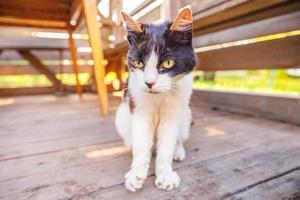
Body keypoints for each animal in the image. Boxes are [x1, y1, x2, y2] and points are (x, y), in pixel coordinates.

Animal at [115, 6, 197, 192]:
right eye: (138, 63)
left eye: (167, 63)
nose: (149, 83)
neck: (160, 97)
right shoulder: (138, 109)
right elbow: (141, 145)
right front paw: (136, 174)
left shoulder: (174, 113)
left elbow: (167, 146)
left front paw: (165, 174)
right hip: (121, 115)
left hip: (186, 114)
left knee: (179, 137)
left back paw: (178, 151)